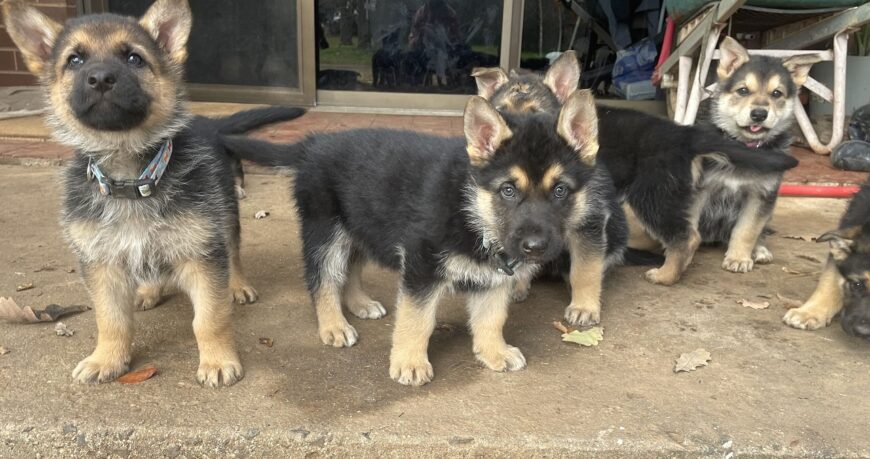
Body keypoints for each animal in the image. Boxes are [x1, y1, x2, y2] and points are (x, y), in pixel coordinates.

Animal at [1, 0, 306, 388]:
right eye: (74, 60)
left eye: (134, 58)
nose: (101, 78)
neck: (131, 179)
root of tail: (209, 122)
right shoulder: (100, 263)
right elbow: (110, 319)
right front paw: (107, 358)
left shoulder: (201, 253)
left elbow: (209, 318)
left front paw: (217, 360)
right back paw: (148, 291)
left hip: (223, 216)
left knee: (232, 252)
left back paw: (237, 285)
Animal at [474, 48, 800, 290]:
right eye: (500, 112)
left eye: (536, 116)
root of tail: (683, 133)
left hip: (652, 196)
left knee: (688, 237)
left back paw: (667, 275)